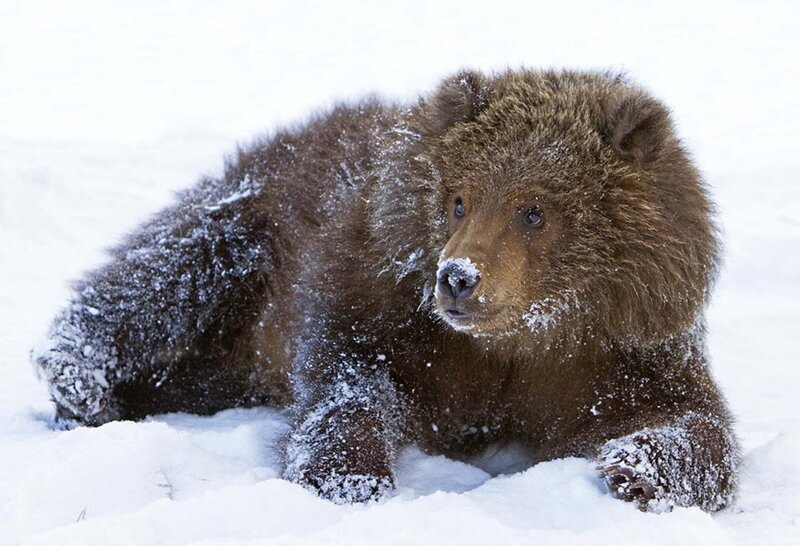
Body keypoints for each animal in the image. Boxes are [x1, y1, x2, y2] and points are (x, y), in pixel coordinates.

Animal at [32, 68, 739, 512]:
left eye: (535, 210)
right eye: (458, 199)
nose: (458, 278)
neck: (518, 340)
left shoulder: (609, 351)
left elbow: (691, 416)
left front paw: (638, 469)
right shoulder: (386, 302)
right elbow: (352, 378)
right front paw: (349, 475)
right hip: (253, 228)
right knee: (165, 273)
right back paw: (79, 377)